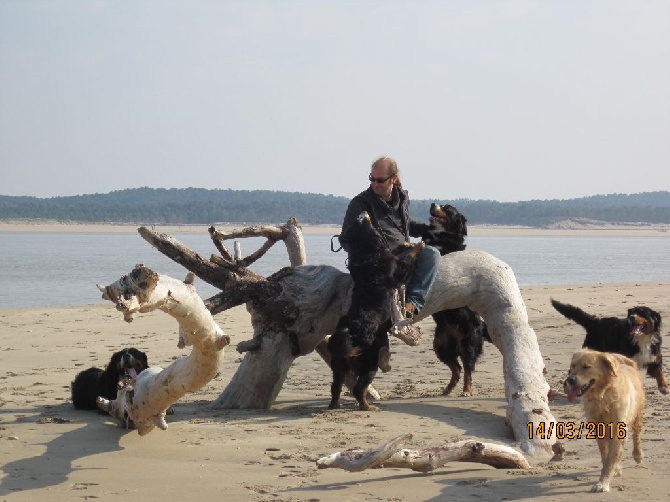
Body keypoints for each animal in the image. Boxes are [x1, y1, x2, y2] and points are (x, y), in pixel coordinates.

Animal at [330, 210, 426, 410]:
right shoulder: (399, 270)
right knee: (359, 389)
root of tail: (351, 334)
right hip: (369, 366)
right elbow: (409, 258)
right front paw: (418, 244)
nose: (362, 212)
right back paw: (367, 406)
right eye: (357, 222)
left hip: (339, 367)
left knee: (336, 386)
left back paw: (334, 405)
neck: (368, 251)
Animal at [410, 203, 494, 396]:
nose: (432, 204)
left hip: (468, 345)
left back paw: (466, 390)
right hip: (440, 346)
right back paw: (448, 389)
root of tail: (481, 325)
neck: (441, 235)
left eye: (448, 209)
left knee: (468, 369)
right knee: (457, 368)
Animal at [568, 348, 644, 492]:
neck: (602, 397)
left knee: (636, 435)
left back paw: (638, 455)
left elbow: (611, 458)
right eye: (573, 366)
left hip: (637, 414)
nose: (569, 380)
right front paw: (608, 474)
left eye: (586, 367)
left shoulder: (618, 429)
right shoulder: (600, 430)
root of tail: (626, 364)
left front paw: (603, 483)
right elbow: (606, 455)